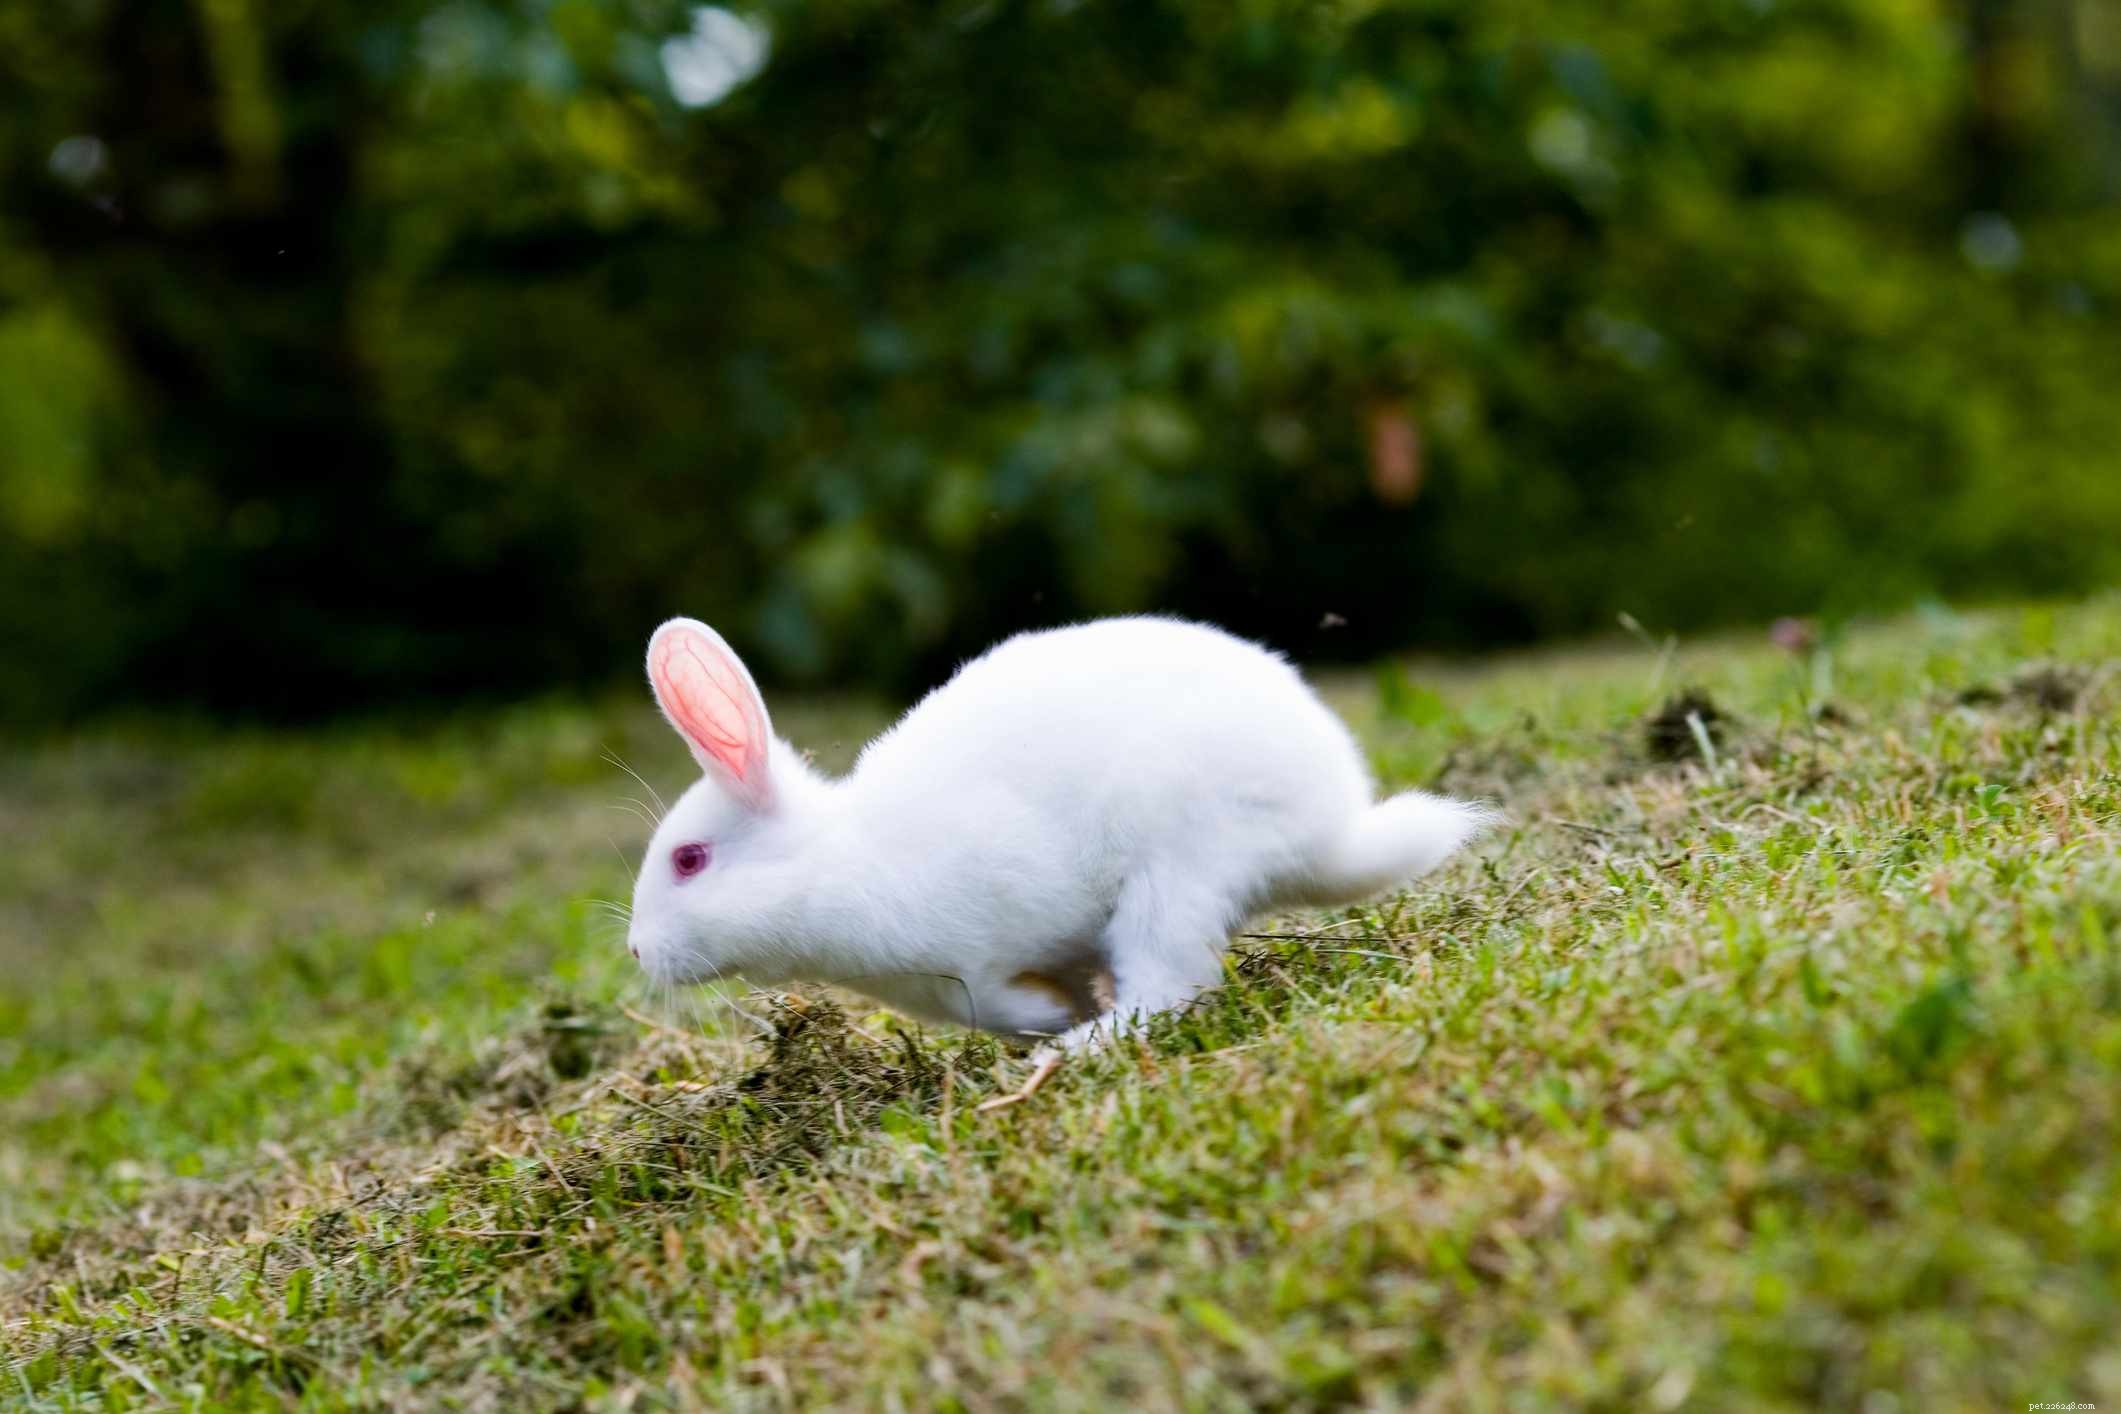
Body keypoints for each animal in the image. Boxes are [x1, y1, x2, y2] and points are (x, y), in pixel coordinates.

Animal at [625, 614, 1493, 1060]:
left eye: (689, 860)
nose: (635, 951)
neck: (836, 860)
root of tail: (1331, 827)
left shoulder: (971, 963)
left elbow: (1002, 1002)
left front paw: (1049, 1021)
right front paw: (1063, 1008)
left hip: (1174, 877)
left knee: (1168, 989)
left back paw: (1067, 1051)